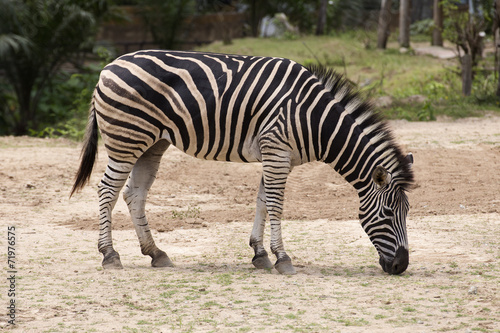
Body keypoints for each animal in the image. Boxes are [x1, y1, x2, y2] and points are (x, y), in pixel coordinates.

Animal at [71, 50, 414, 274]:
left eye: (407, 212)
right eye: (387, 213)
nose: (401, 266)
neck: (313, 119)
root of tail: (108, 67)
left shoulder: (279, 156)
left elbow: (263, 201)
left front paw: (260, 254)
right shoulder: (276, 151)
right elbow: (275, 204)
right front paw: (282, 258)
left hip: (152, 144)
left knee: (134, 194)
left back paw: (156, 253)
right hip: (126, 139)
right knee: (107, 190)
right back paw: (110, 255)